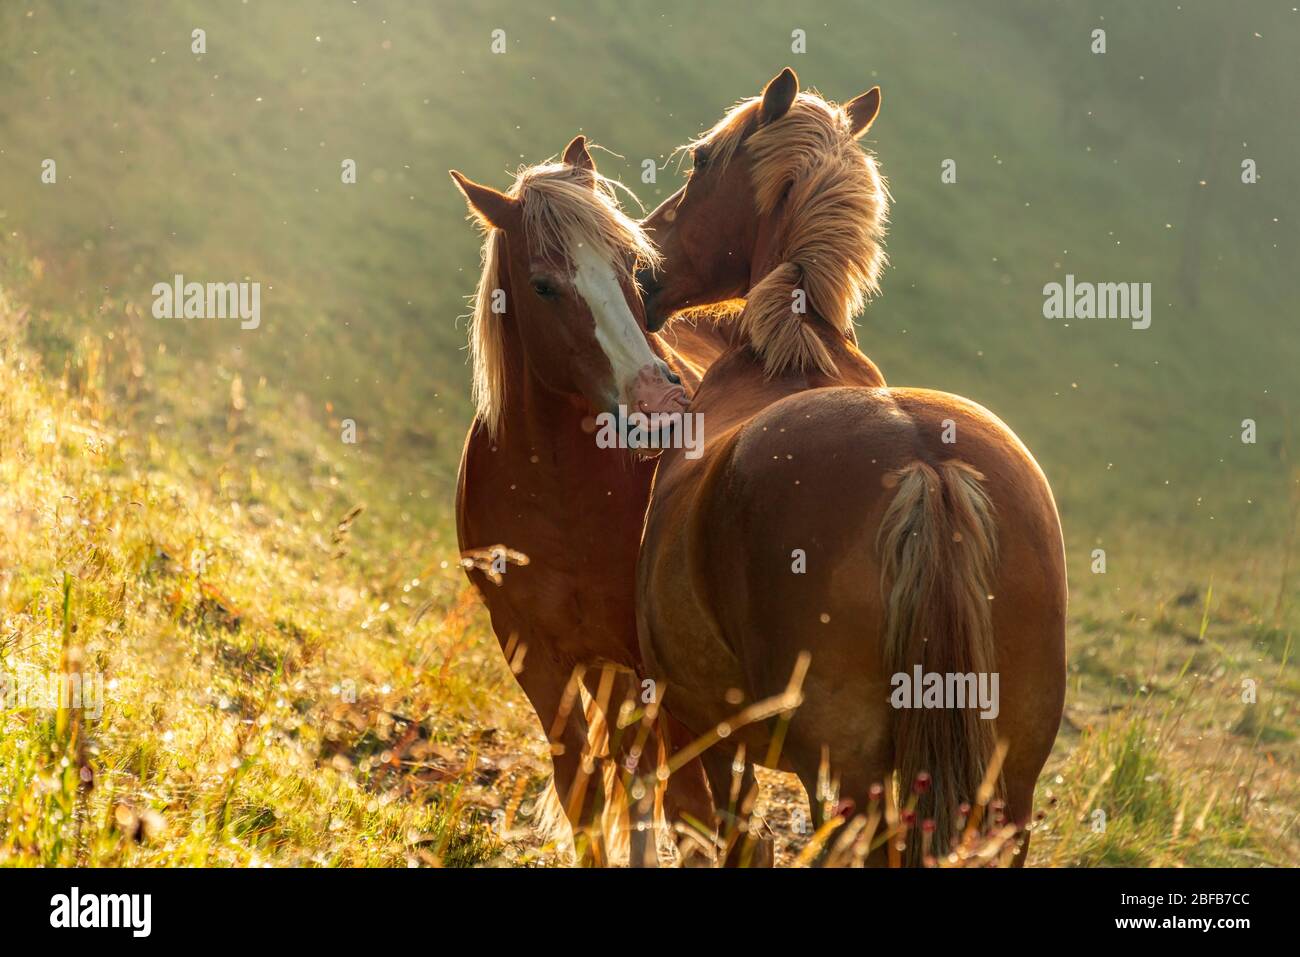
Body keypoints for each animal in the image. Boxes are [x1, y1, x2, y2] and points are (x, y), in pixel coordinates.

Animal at [452, 136, 728, 868]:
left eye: (631, 264)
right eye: (544, 285)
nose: (660, 409)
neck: (562, 497)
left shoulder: (653, 671)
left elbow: (679, 803)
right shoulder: (533, 651)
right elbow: (584, 790)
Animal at [637, 72, 1066, 868]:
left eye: (701, 160)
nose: (643, 268)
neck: (786, 352)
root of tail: (926, 467)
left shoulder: (701, 725)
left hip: (844, 777)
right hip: (1009, 789)